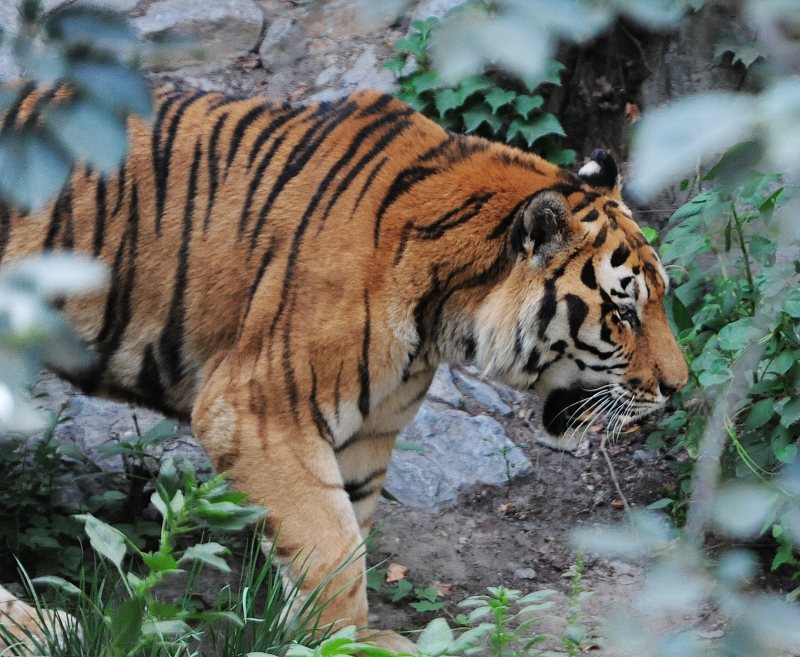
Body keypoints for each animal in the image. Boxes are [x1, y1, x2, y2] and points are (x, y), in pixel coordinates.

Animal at [0, 81, 687, 653]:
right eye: (624, 311)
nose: (677, 388)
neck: (441, 316)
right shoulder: (253, 412)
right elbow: (331, 547)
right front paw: (342, 642)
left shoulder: (367, 433)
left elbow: (344, 533)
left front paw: (306, 632)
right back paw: (39, 627)